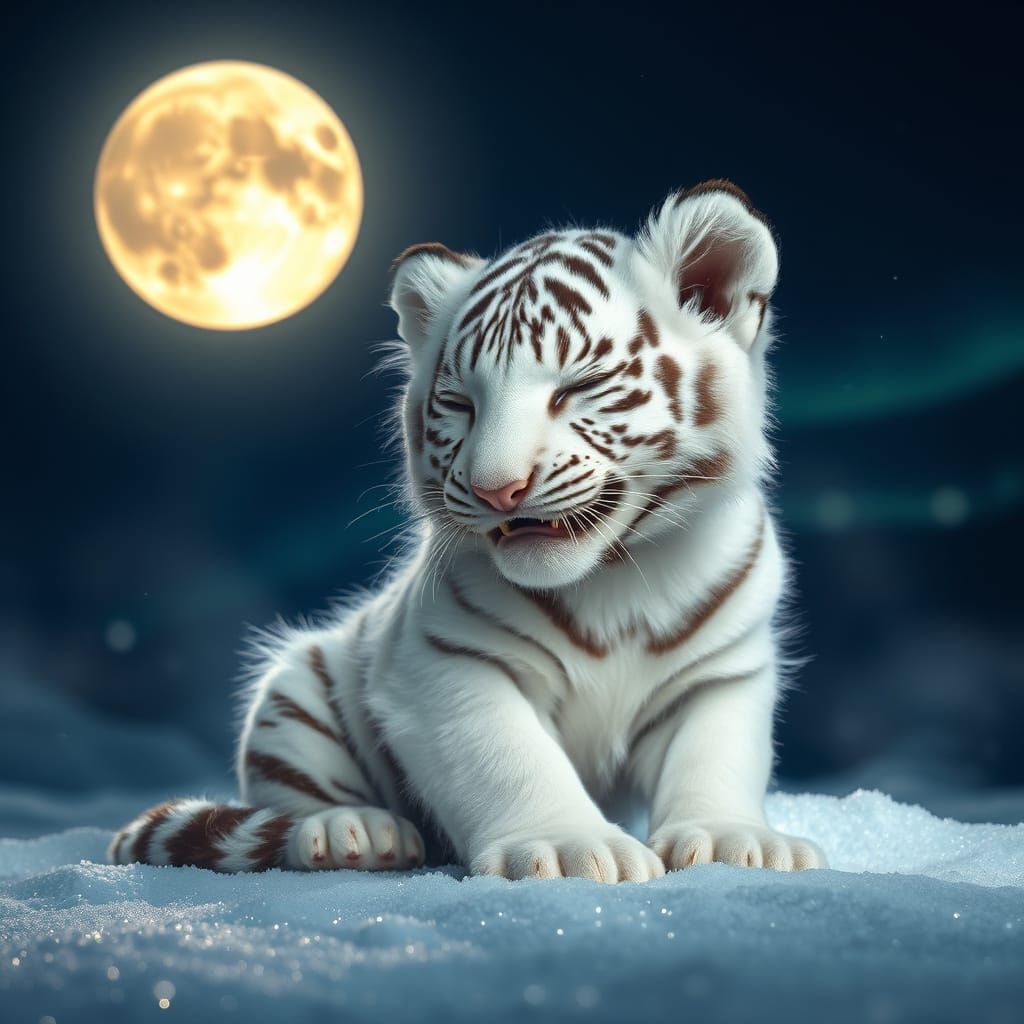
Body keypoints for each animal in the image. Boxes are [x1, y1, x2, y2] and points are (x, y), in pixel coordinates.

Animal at [110, 180, 827, 881]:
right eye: (461, 404)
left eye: (580, 386)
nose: (496, 488)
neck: (615, 577)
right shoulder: (444, 663)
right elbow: (508, 757)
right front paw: (563, 846)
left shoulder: (723, 671)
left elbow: (715, 754)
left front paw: (732, 838)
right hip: (294, 694)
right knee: (294, 805)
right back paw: (352, 833)